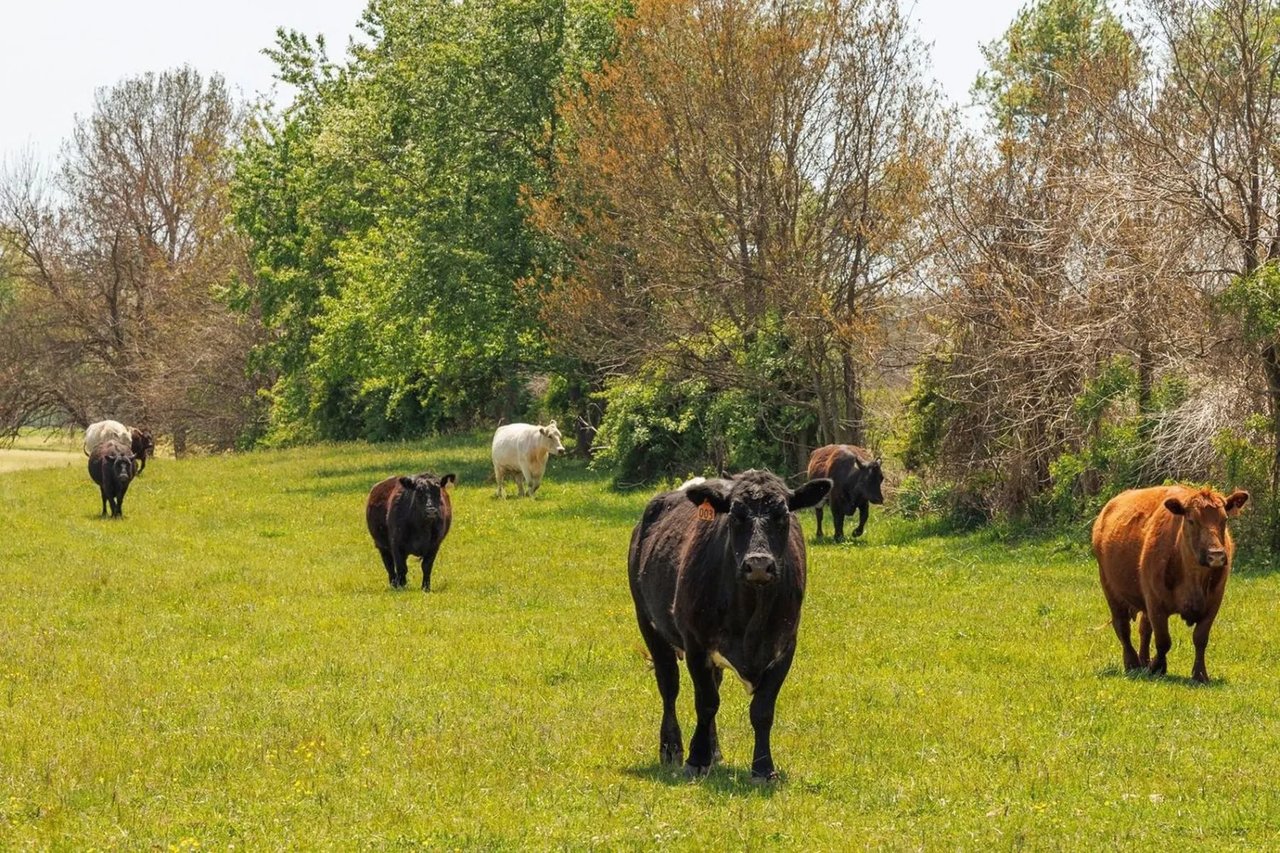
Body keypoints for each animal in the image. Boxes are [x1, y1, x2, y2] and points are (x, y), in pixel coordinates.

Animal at [628, 470, 832, 782]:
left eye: (783, 515)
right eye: (735, 516)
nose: (758, 564)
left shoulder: (785, 646)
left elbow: (762, 710)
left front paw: (763, 768)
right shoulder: (696, 643)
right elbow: (706, 702)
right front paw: (696, 759)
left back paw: (714, 751)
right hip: (649, 624)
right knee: (669, 686)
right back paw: (672, 749)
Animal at [1093, 485, 1249, 684]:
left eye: (1225, 519)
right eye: (1191, 520)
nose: (1216, 555)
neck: (1193, 576)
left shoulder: (1213, 603)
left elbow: (1200, 638)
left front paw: (1200, 674)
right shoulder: (1156, 603)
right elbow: (1163, 640)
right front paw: (1157, 667)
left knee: (1144, 629)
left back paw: (1143, 660)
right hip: (1111, 590)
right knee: (1123, 628)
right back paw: (1132, 664)